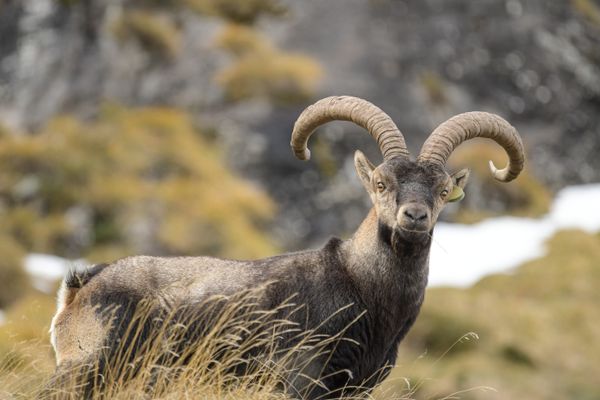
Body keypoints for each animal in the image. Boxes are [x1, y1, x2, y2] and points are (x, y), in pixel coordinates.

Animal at [49, 95, 524, 398]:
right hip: (87, 365)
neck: (362, 286)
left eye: (443, 190)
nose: (414, 217)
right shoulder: (297, 377)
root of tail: (81, 287)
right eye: (381, 183)